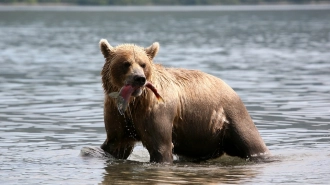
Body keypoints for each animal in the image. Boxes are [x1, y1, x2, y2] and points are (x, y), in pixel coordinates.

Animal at [99, 39, 270, 163]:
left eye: (143, 64)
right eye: (126, 64)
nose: (139, 78)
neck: (134, 102)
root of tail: (230, 87)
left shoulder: (156, 111)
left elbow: (160, 146)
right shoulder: (117, 113)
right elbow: (116, 144)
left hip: (232, 115)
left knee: (251, 142)